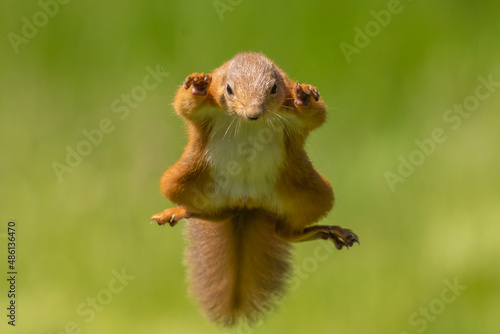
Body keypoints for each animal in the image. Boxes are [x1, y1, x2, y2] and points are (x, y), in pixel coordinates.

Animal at [151, 52, 360, 326]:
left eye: (274, 88)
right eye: (229, 89)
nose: (253, 114)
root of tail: (247, 206)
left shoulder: (292, 111)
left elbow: (316, 114)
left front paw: (305, 95)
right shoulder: (205, 110)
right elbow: (184, 104)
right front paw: (197, 84)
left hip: (312, 193)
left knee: (285, 232)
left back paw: (331, 231)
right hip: (182, 181)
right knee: (213, 214)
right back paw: (178, 212)